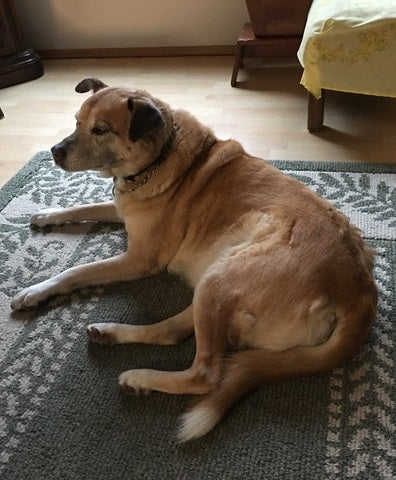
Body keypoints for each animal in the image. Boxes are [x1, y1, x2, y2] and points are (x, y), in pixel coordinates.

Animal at [11, 79, 378, 442]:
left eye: (100, 130)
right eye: (76, 122)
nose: (54, 151)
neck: (158, 159)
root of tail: (359, 291)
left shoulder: (139, 259)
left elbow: (76, 270)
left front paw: (35, 291)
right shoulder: (121, 210)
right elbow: (82, 207)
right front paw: (47, 214)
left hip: (221, 277)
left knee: (205, 374)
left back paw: (141, 377)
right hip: (213, 282)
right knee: (173, 332)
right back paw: (111, 333)